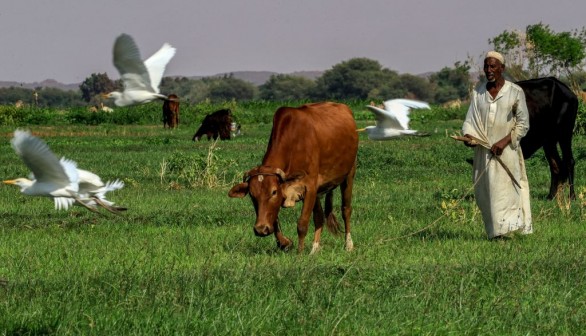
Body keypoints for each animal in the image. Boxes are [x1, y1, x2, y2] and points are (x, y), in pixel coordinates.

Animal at [227, 102, 356, 255]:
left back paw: (348, 244)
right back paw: (314, 249)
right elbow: (274, 219)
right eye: (252, 195)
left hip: (349, 174)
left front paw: (299, 254)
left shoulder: (310, 187)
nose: (260, 229)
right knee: (319, 217)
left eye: (273, 192)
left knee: (346, 210)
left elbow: (302, 223)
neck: (294, 142)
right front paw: (284, 242)